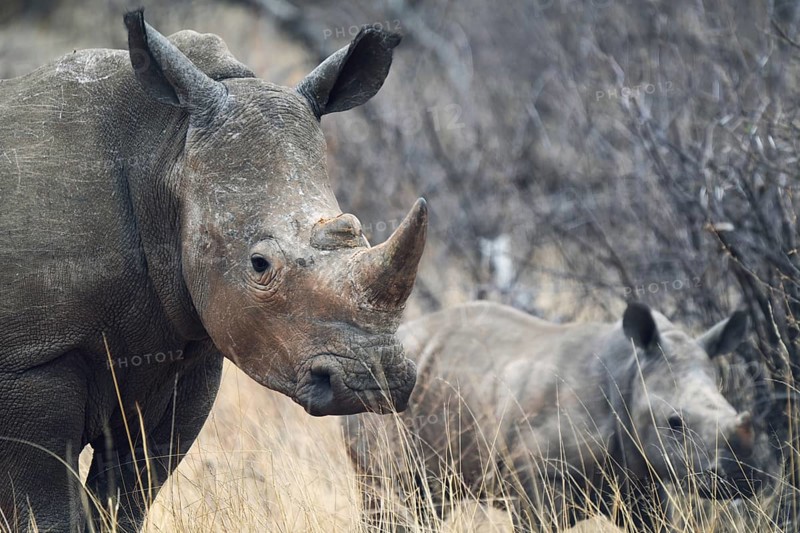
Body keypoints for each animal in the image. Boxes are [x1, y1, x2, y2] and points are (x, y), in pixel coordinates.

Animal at [0, 10, 426, 532]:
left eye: (361, 233)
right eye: (259, 265)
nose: (376, 382)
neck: (167, 151)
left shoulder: (184, 357)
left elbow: (128, 496)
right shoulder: (31, 360)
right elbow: (45, 509)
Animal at [344, 301, 772, 532]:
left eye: (732, 408)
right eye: (675, 424)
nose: (743, 477)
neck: (630, 373)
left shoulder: (643, 479)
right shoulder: (537, 476)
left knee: (428, 504)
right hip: (376, 396)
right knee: (390, 493)